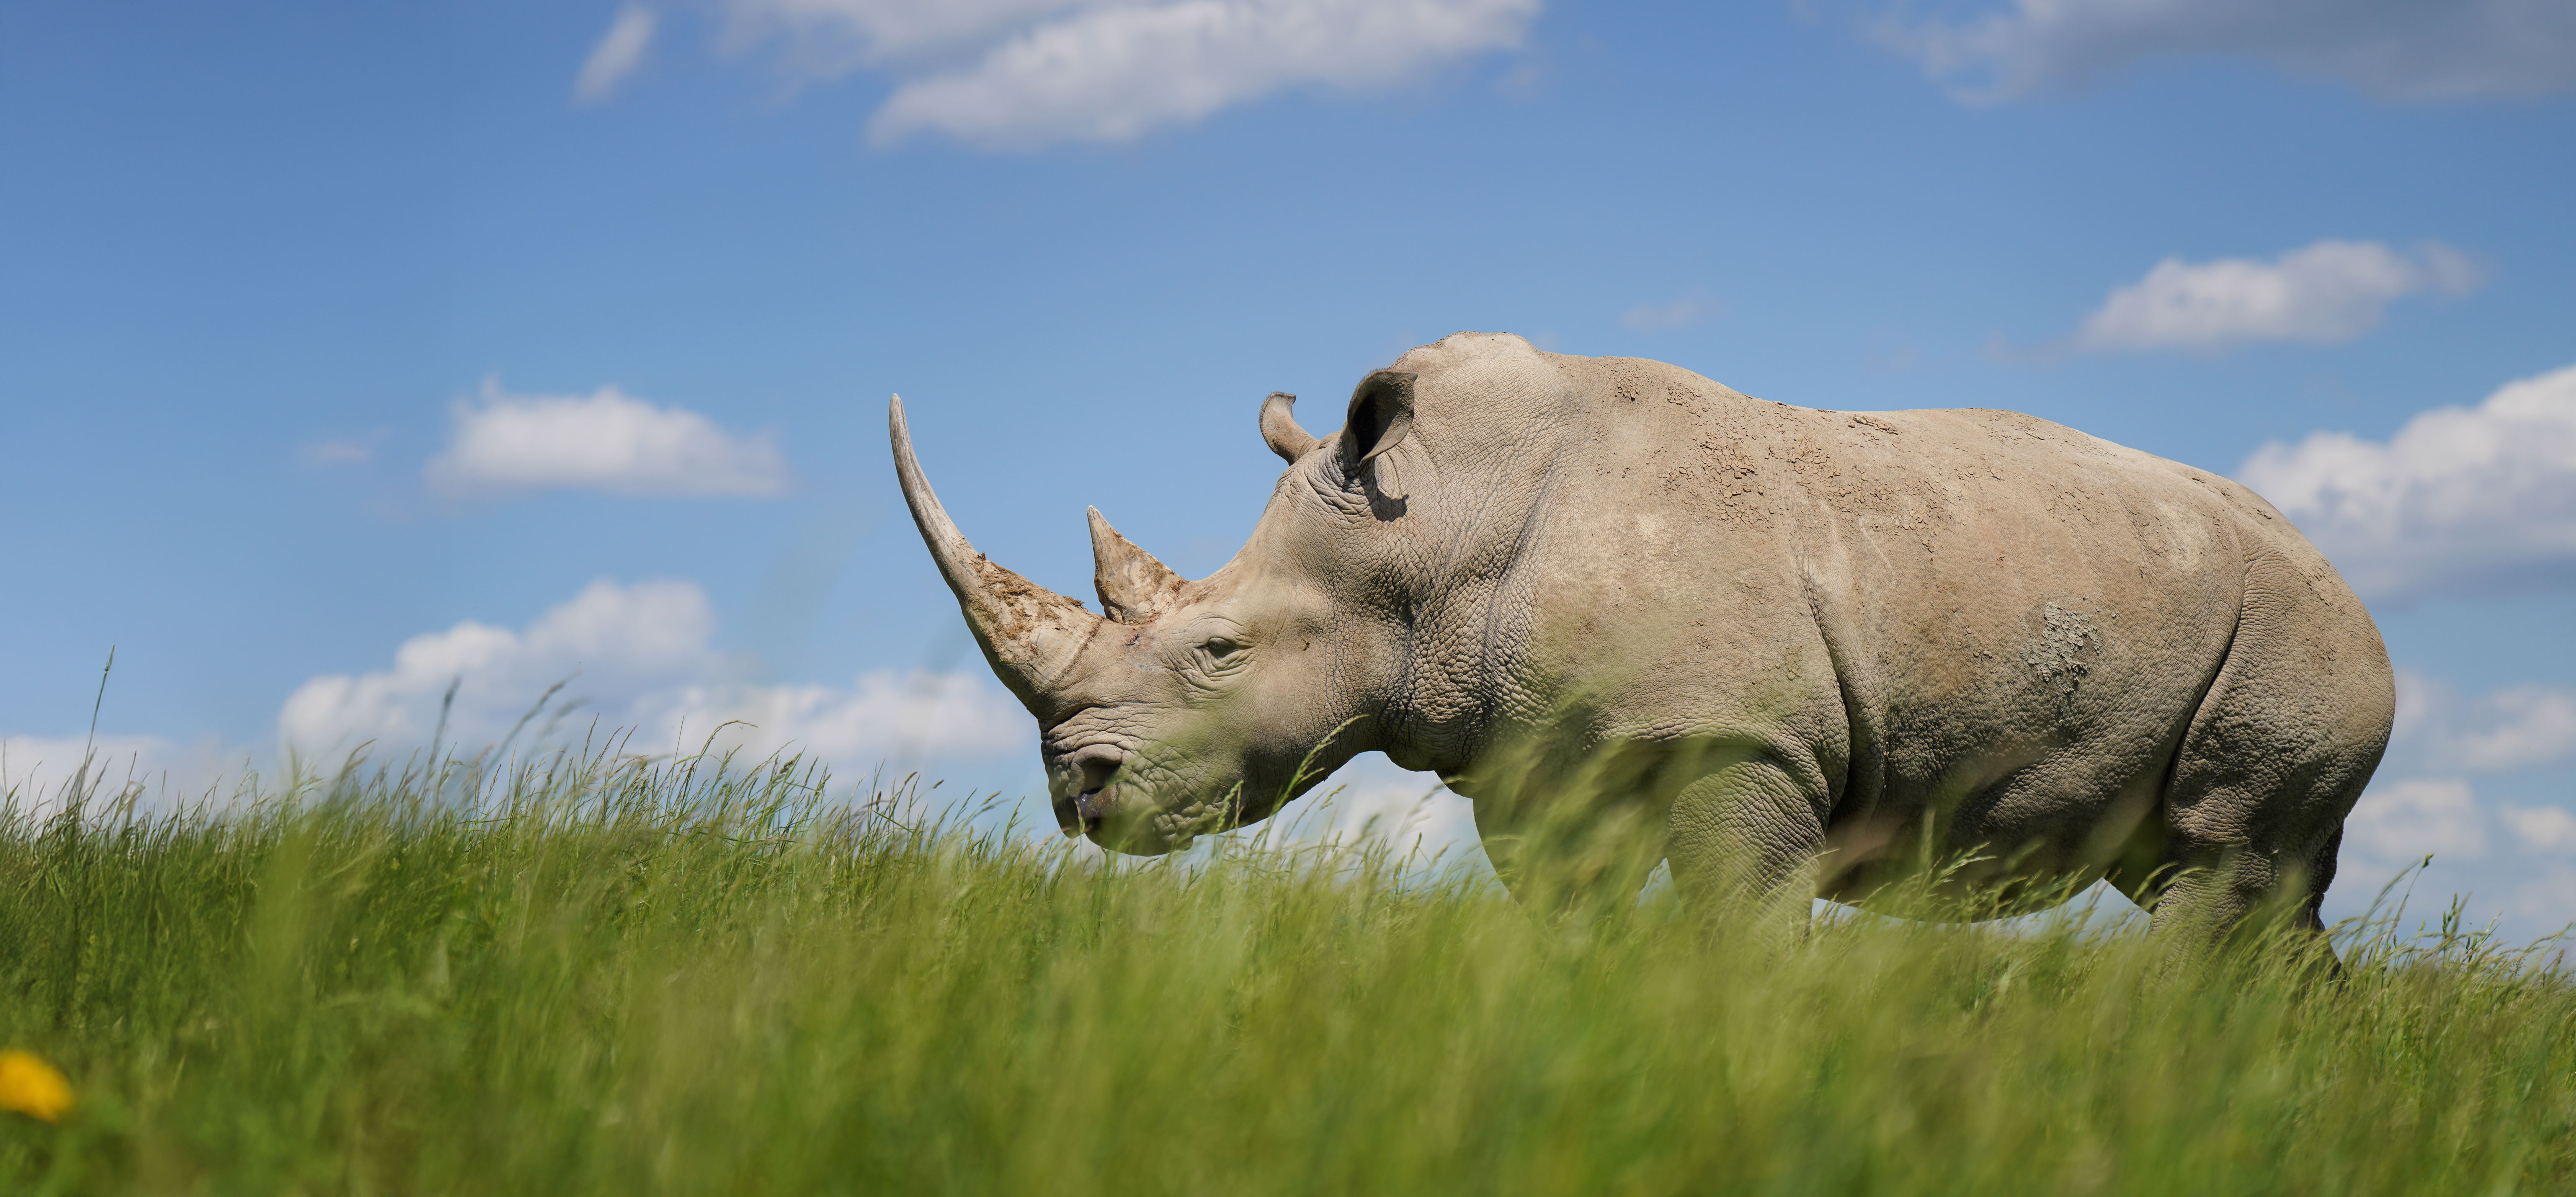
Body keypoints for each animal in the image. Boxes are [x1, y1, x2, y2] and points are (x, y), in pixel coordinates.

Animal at [890, 332, 2394, 942]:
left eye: (1217, 652)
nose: (1076, 792)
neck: (1429, 536)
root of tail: (2351, 588)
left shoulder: (1745, 740)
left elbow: (1742, 925)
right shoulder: (1526, 762)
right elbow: (1574, 926)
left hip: (2288, 637)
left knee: (2211, 861)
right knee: (2248, 888)